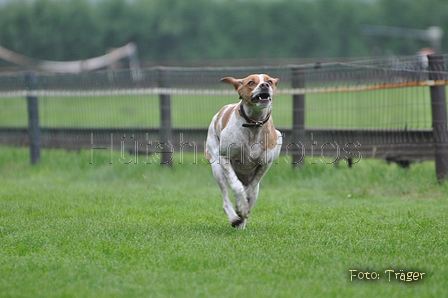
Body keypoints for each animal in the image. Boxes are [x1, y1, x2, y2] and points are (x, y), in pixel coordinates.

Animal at [206, 74, 282, 228]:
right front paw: (240, 204)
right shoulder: (224, 157)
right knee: (226, 199)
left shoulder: (266, 163)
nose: (264, 85)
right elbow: (236, 186)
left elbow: (251, 189)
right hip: (217, 168)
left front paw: (243, 205)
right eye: (251, 82)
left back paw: (241, 221)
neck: (254, 124)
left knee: (252, 193)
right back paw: (234, 217)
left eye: (270, 81)